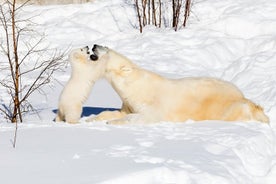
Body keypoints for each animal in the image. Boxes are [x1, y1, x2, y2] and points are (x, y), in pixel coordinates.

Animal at [87, 44, 270, 124]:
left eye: (106, 49)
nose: (95, 45)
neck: (134, 84)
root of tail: (243, 96)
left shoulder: (152, 104)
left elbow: (144, 116)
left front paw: (112, 123)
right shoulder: (128, 102)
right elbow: (118, 112)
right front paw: (93, 118)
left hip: (226, 107)